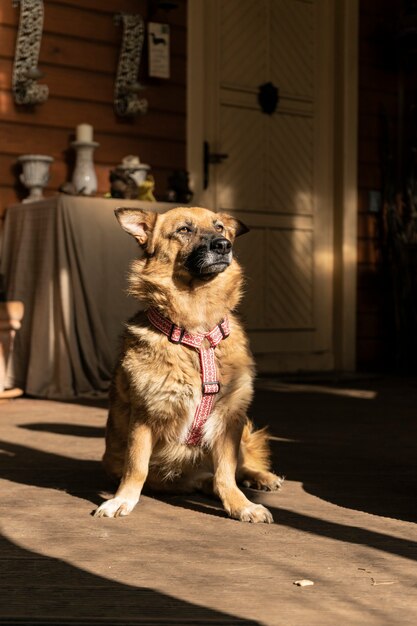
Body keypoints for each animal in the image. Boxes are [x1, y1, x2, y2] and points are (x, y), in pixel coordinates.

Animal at [93, 206, 282, 520]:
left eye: (220, 227)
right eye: (184, 229)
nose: (223, 245)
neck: (197, 333)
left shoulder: (229, 419)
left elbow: (227, 472)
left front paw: (241, 505)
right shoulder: (144, 416)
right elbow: (137, 467)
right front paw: (122, 500)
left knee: (239, 465)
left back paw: (260, 477)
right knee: (203, 479)